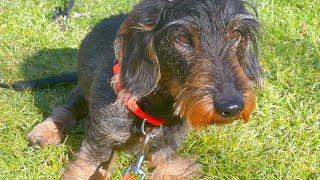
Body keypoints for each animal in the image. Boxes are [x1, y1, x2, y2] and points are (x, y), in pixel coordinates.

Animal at [0, 0, 262, 178]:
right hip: (83, 88)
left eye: (235, 34)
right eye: (182, 39)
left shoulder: (164, 152)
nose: (232, 106)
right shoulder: (97, 144)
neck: (154, 112)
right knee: (69, 106)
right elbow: (84, 166)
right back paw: (45, 130)